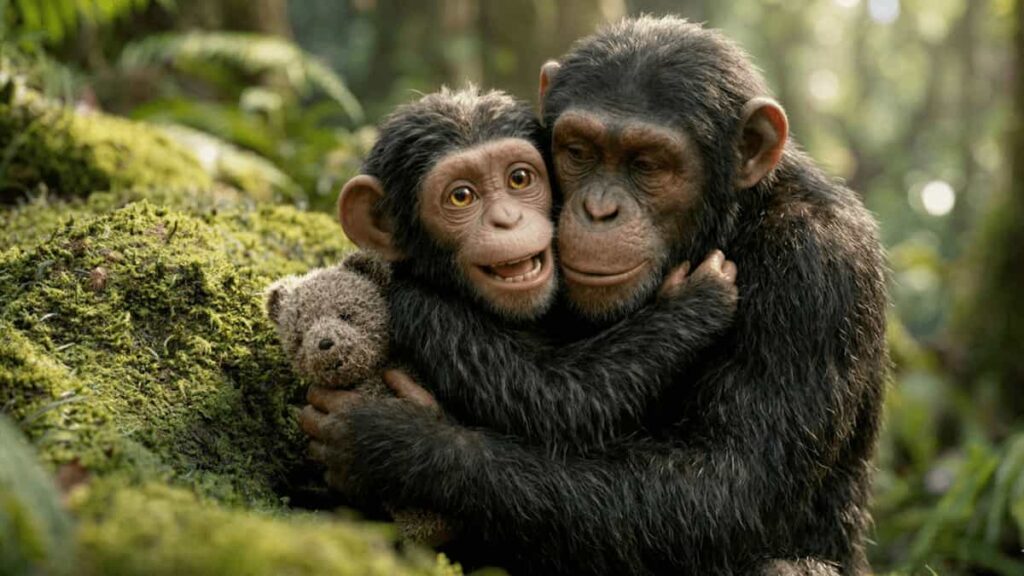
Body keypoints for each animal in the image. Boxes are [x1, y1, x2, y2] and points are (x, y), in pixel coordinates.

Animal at [303, 17, 887, 576]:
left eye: (647, 163)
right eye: (579, 152)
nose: (599, 209)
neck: (732, 223)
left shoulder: (818, 270)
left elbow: (724, 492)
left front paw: (392, 442)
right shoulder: (426, 311)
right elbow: (560, 396)